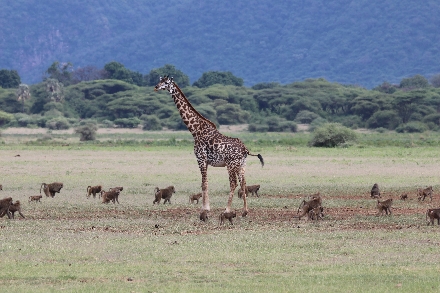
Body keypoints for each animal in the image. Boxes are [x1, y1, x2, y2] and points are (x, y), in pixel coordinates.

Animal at [155, 75, 264, 219]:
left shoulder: (200, 159)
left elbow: (204, 184)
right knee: (243, 183)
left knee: (233, 183)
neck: (195, 130)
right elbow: (204, 183)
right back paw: (245, 211)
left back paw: (227, 210)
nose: (156, 87)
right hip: (242, 165)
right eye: (160, 80)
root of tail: (245, 150)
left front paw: (205, 210)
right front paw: (206, 208)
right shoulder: (206, 161)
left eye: (166, 83)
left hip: (231, 165)